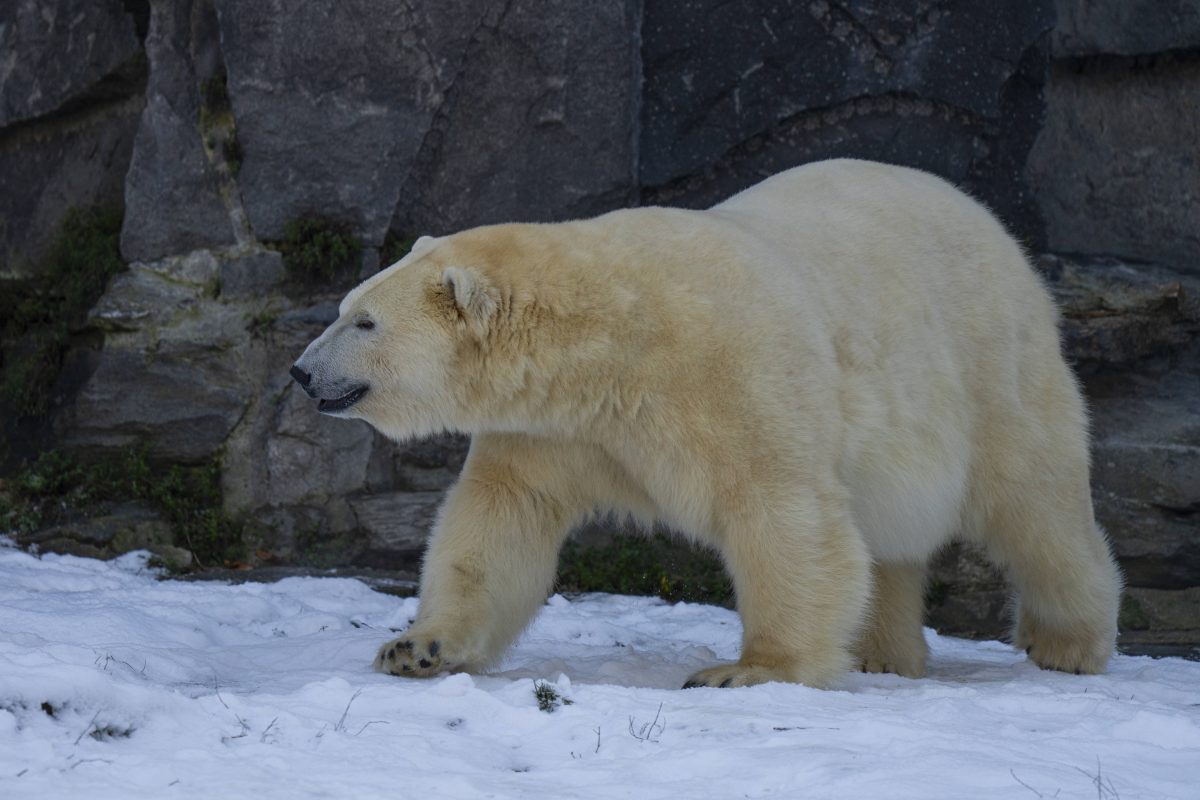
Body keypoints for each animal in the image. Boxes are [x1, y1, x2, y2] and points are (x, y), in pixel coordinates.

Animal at [292, 160, 1123, 690]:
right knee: (890, 539)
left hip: (990, 364)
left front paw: (750, 669)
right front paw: (417, 647)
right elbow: (499, 518)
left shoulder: (728, 373)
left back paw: (1067, 643)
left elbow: (782, 512)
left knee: (1036, 505)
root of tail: (997, 231)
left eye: (363, 321)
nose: (301, 373)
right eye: (345, 306)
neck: (612, 337)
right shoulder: (556, 427)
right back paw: (883, 653)